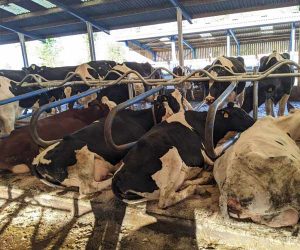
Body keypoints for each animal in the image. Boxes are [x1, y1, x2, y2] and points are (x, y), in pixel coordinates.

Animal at [31, 90, 190, 193]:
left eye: (181, 99)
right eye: (174, 103)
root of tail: (38, 160)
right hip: (84, 155)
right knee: (89, 188)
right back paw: (108, 179)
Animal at [112, 102, 255, 209]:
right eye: (241, 114)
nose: (254, 121)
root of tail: (118, 175)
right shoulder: (206, 154)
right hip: (173, 156)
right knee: (165, 200)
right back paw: (194, 188)